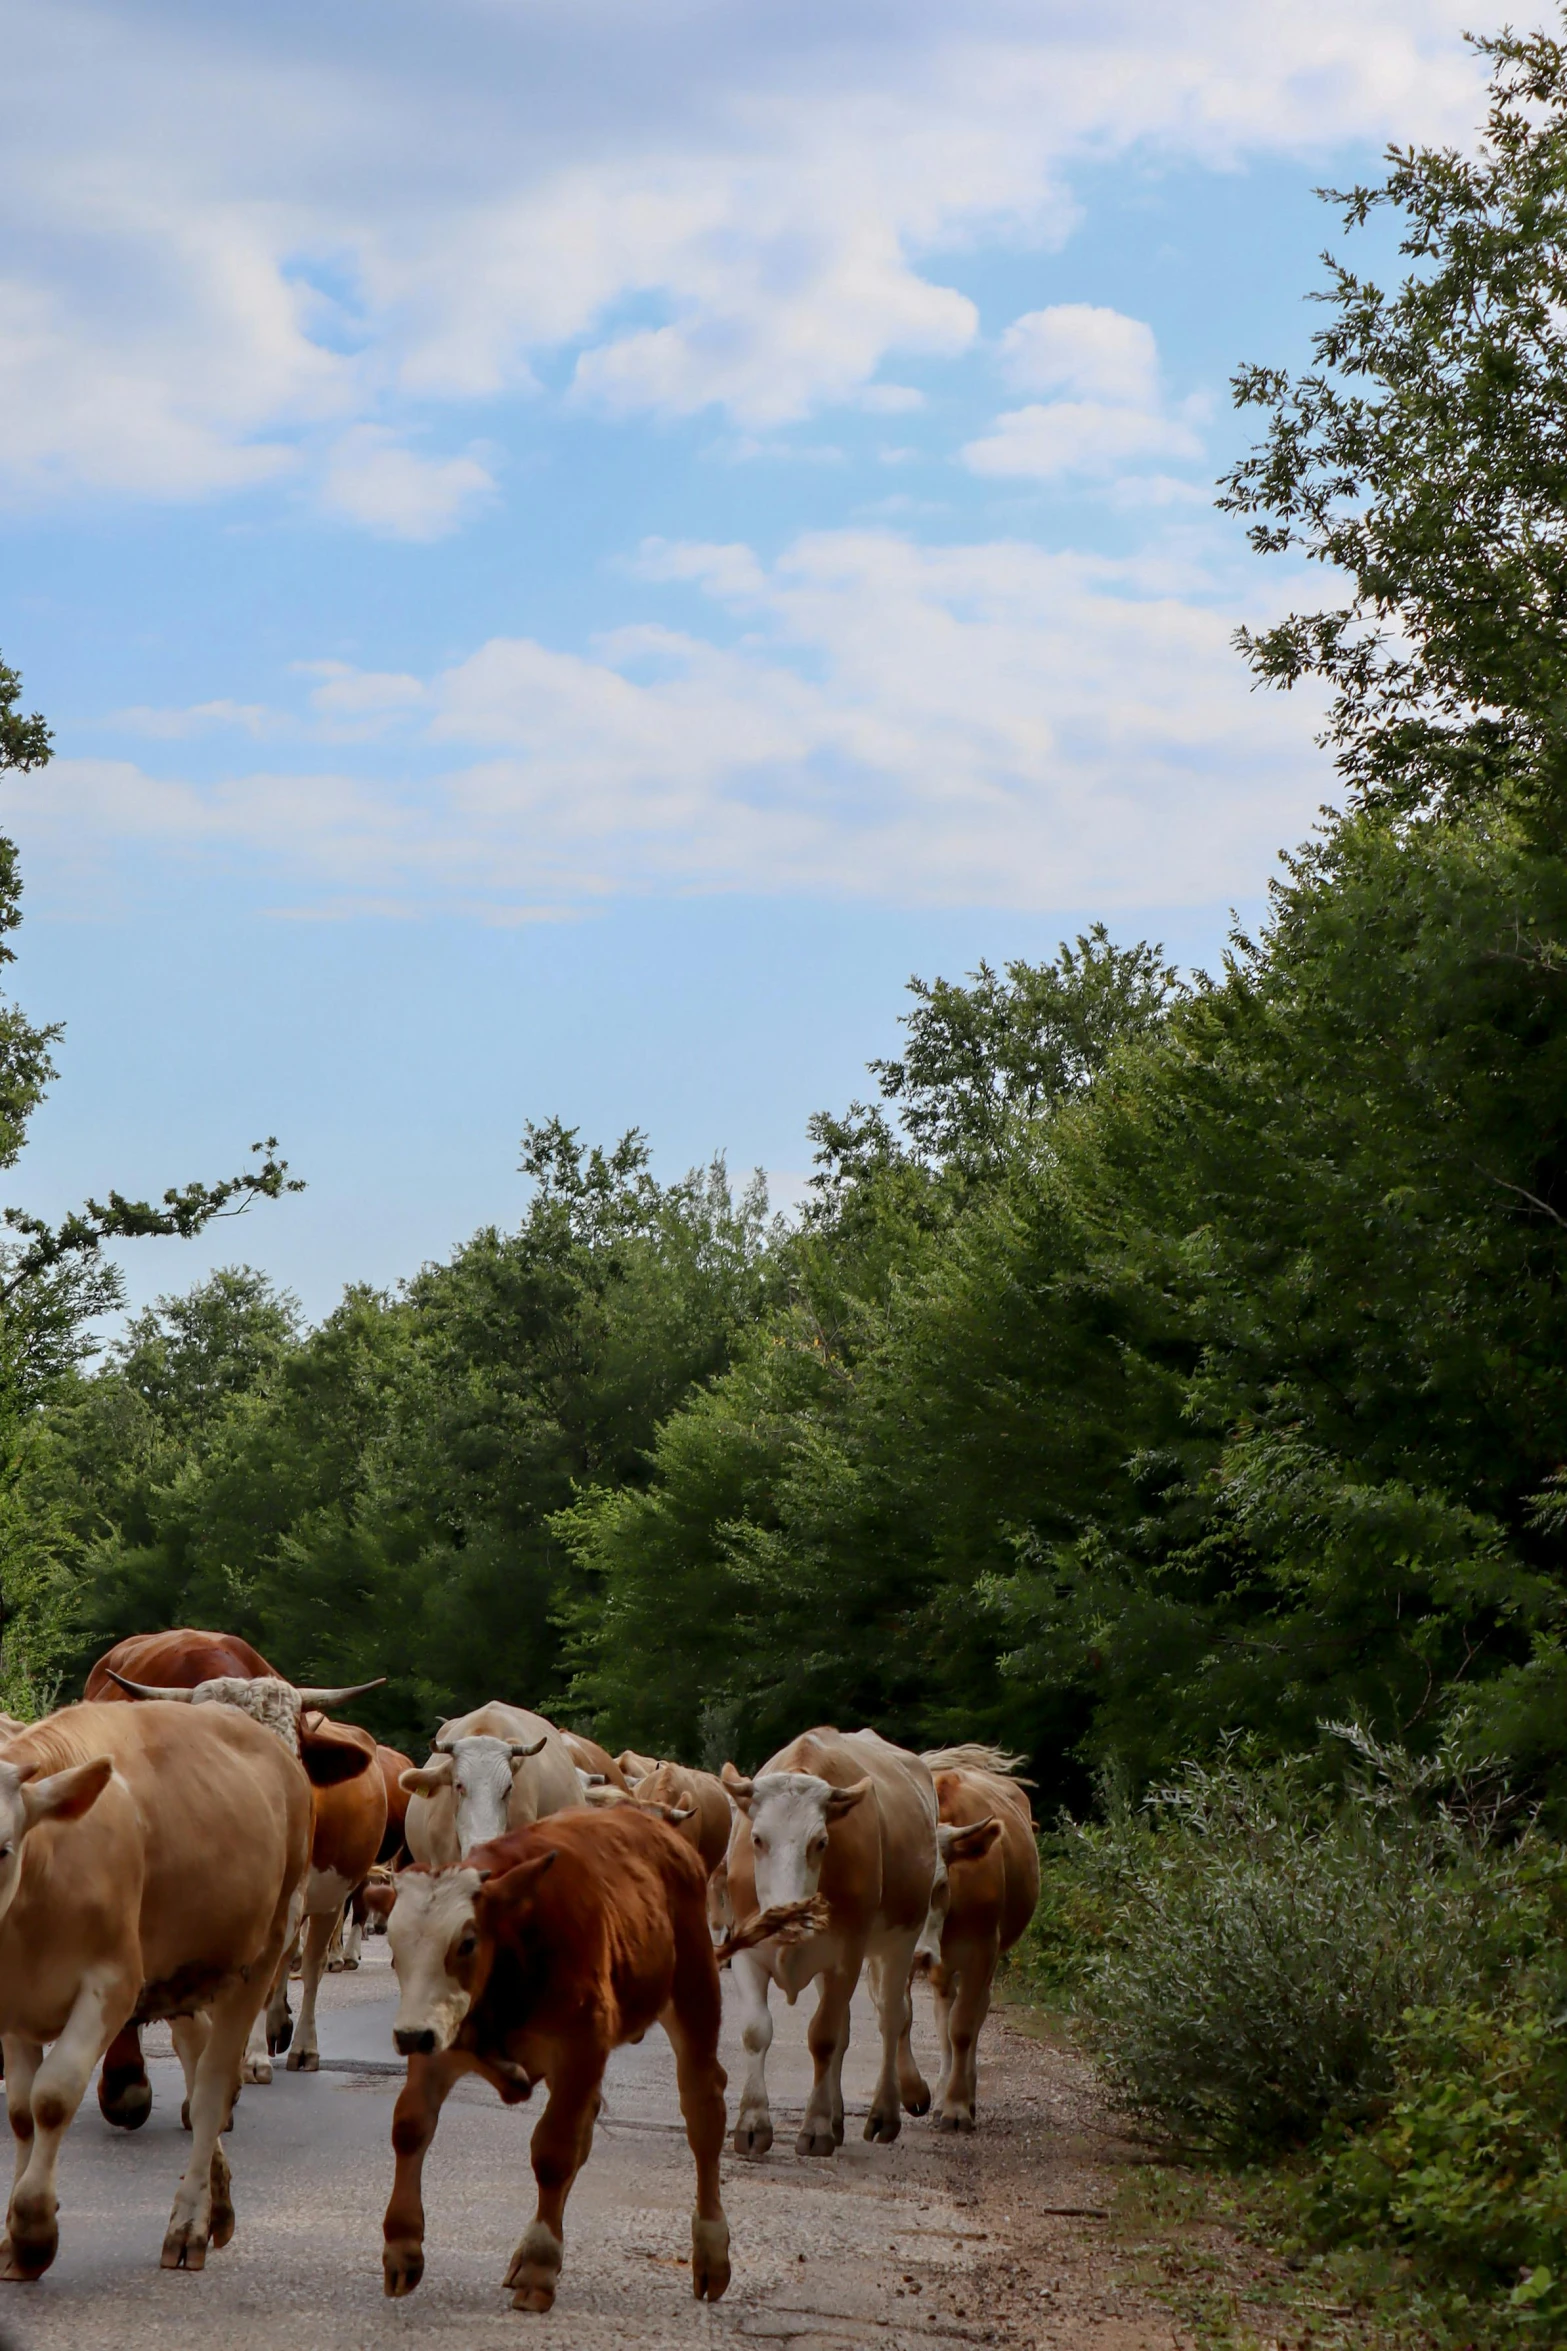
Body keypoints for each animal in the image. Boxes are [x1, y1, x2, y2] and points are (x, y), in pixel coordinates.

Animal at [0, 1692, 314, 2275]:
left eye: (3, 1848)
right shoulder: (11, 2005)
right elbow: (20, 2113)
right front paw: (12, 2237)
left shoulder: (114, 1984)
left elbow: (52, 2097)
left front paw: (33, 2230)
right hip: (182, 1969)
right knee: (195, 2053)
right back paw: (218, 2203)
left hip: (262, 1952)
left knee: (213, 2087)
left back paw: (189, 2225)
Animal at [718, 1720, 930, 2153]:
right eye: (757, 1839)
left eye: (821, 1842)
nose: (787, 1918)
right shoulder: (747, 1952)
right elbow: (756, 2031)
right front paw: (753, 2122)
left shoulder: (846, 1956)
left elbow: (823, 2038)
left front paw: (815, 2127)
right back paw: (837, 2118)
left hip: (899, 1940)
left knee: (891, 2018)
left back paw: (883, 2114)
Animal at [911, 1749, 1033, 2134]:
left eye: (939, 1884)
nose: (915, 1955)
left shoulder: (983, 1950)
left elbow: (963, 2027)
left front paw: (957, 2108)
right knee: (943, 2014)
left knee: (974, 2013)